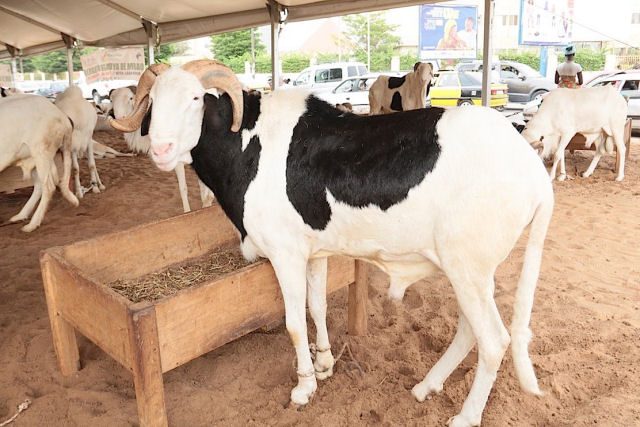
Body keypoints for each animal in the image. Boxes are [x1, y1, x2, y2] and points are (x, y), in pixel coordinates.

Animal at [0, 95, 79, 232]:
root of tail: (61, 116)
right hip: (39, 158)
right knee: (40, 185)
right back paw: (21, 215)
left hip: (41, 152)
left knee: (48, 187)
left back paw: (32, 224)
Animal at [114, 60, 556, 427]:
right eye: (152, 102)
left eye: (195, 99)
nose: (161, 149)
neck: (250, 146)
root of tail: (532, 168)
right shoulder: (314, 250)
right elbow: (318, 307)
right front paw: (325, 363)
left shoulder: (285, 254)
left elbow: (294, 323)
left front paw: (304, 386)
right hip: (471, 271)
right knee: (469, 331)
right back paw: (426, 386)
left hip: (468, 268)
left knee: (495, 340)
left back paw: (464, 416)